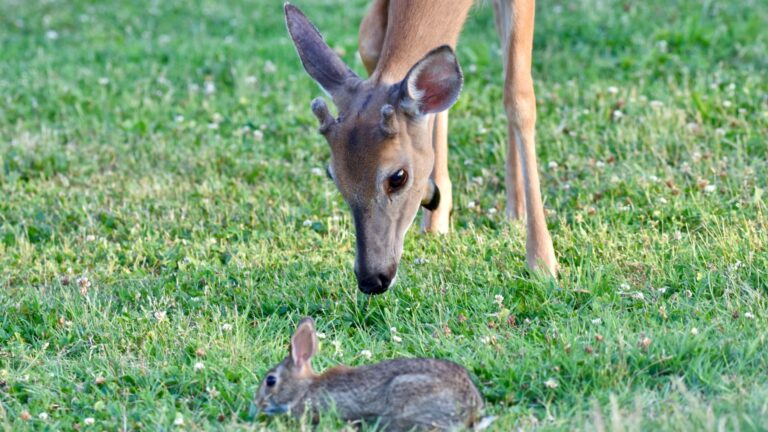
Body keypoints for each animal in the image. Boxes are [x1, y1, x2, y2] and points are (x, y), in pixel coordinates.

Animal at [284, 0, 556, 295]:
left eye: (397, 177)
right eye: (333, 176)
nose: (372, 279)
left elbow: (518, 96)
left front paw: (542, 261)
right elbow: (369, 41)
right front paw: (436, 211)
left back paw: (517, 210)